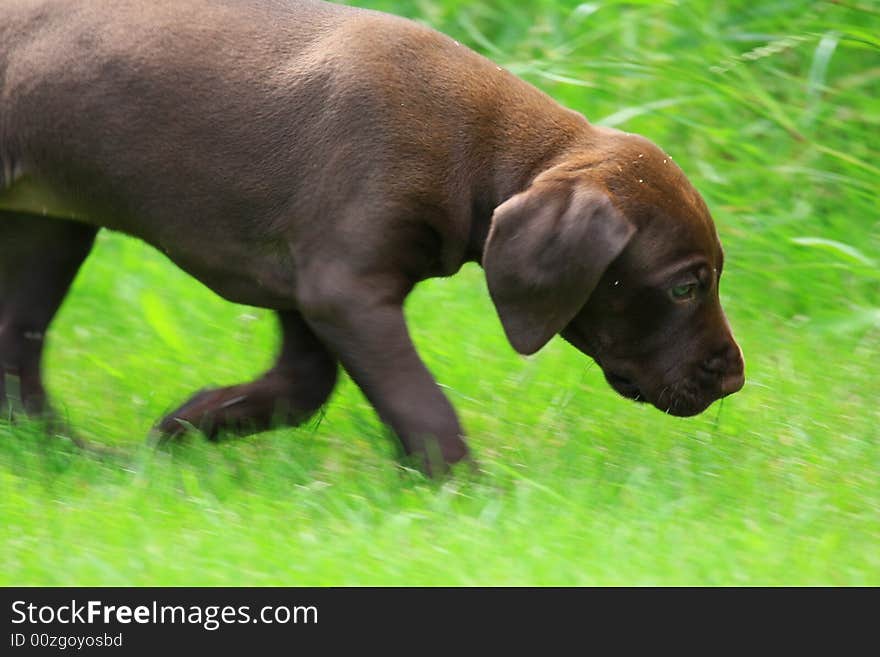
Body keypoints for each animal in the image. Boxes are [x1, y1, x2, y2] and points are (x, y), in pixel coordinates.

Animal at [0, 0, 744, 472]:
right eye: (684, 287)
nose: (735, 379)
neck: (477, 146)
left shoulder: (304, 289)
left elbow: (302, 385)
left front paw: (190, 424)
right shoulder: (343, 290)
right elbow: (422, 406)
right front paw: (470, 495)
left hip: (49, 229)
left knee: (17, 352)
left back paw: (67, 458)